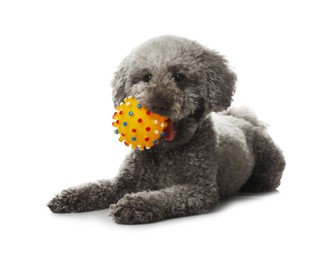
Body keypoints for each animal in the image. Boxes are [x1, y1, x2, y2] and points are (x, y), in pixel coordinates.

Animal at [47, 35, 286, 224]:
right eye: (146, 77)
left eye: (179, 76)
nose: (158, 104)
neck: (165, 153)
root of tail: (242, 119)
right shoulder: (125, 182)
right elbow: (98, 187)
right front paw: (70, 196)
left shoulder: (198, 191)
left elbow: (162, 197)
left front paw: (134, 205)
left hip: (270, 161)